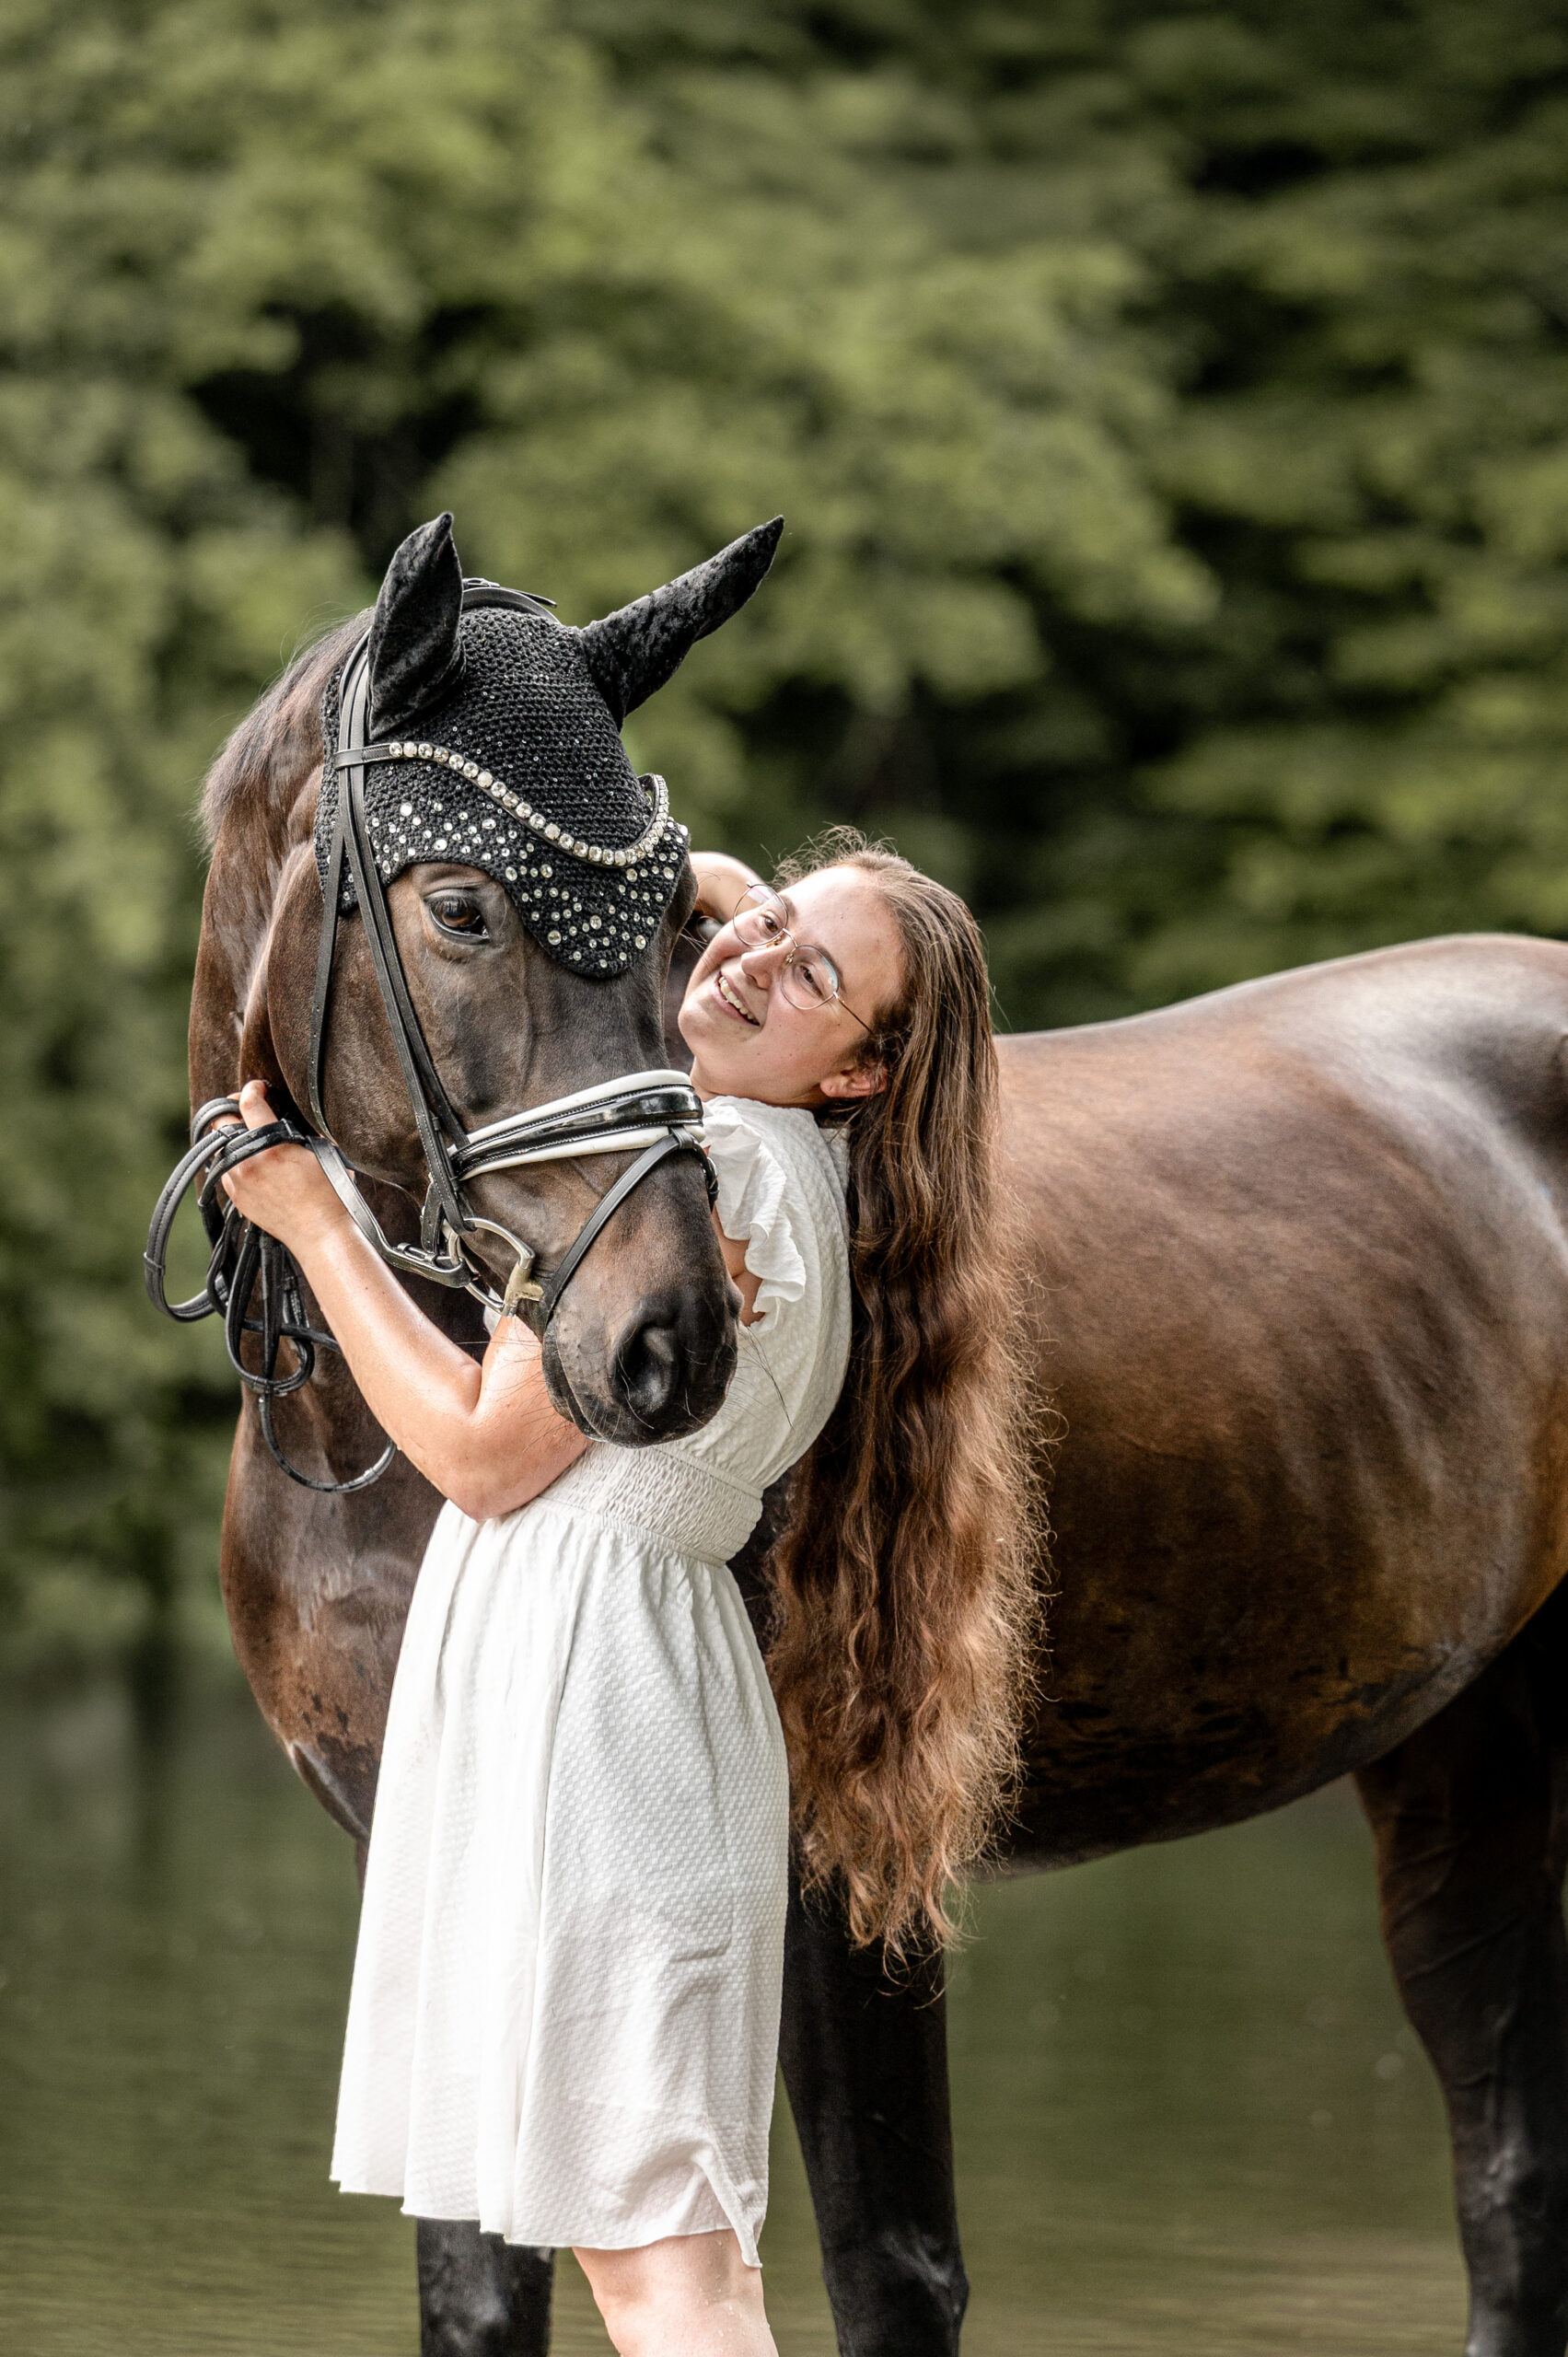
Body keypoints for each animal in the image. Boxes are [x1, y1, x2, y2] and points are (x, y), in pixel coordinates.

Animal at [187, 551, 1568, 2354]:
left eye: (676, 926)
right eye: (465, 909)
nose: (671, 1339)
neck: (392, 1453)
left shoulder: (841, 1877)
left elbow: (889, 2263)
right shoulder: (427, 1870)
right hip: (1459, 1742)